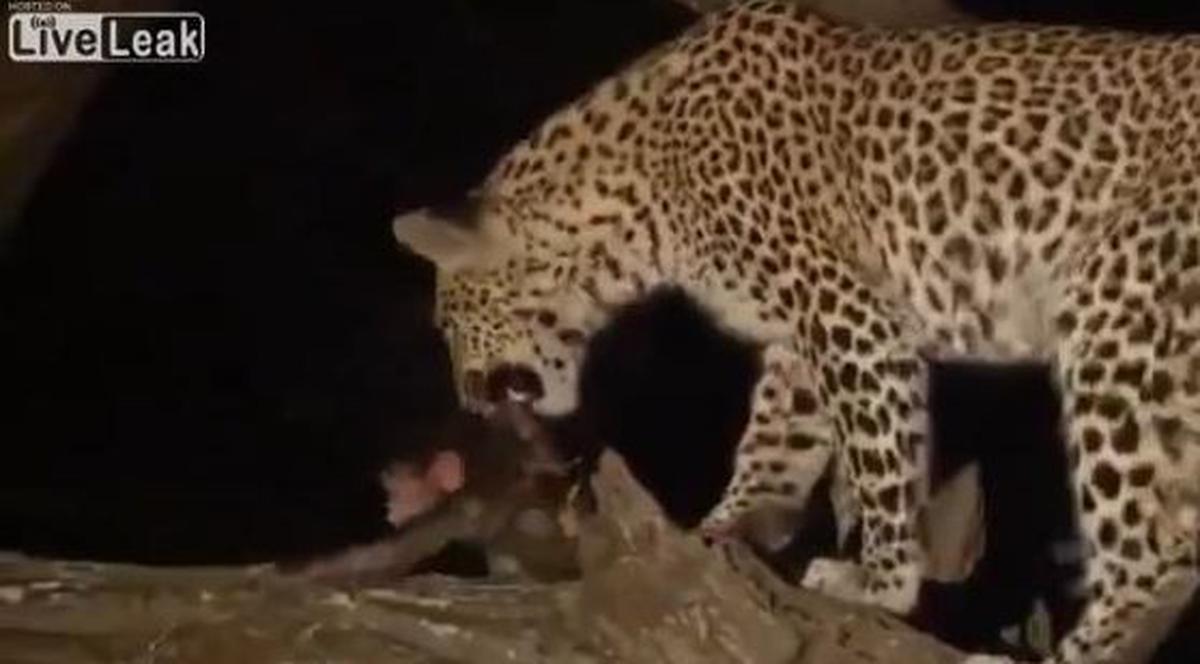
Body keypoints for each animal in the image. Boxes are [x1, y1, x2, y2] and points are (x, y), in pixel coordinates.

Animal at [390, 2, 1200, 661]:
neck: (630, 208)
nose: (467, 398)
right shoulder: (797, 342)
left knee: (1149, 551)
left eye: (446, 322)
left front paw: (880, 581)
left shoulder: (852, 316)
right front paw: (721, 528)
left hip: (1112, 315)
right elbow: (771, 443)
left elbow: (878, 457)